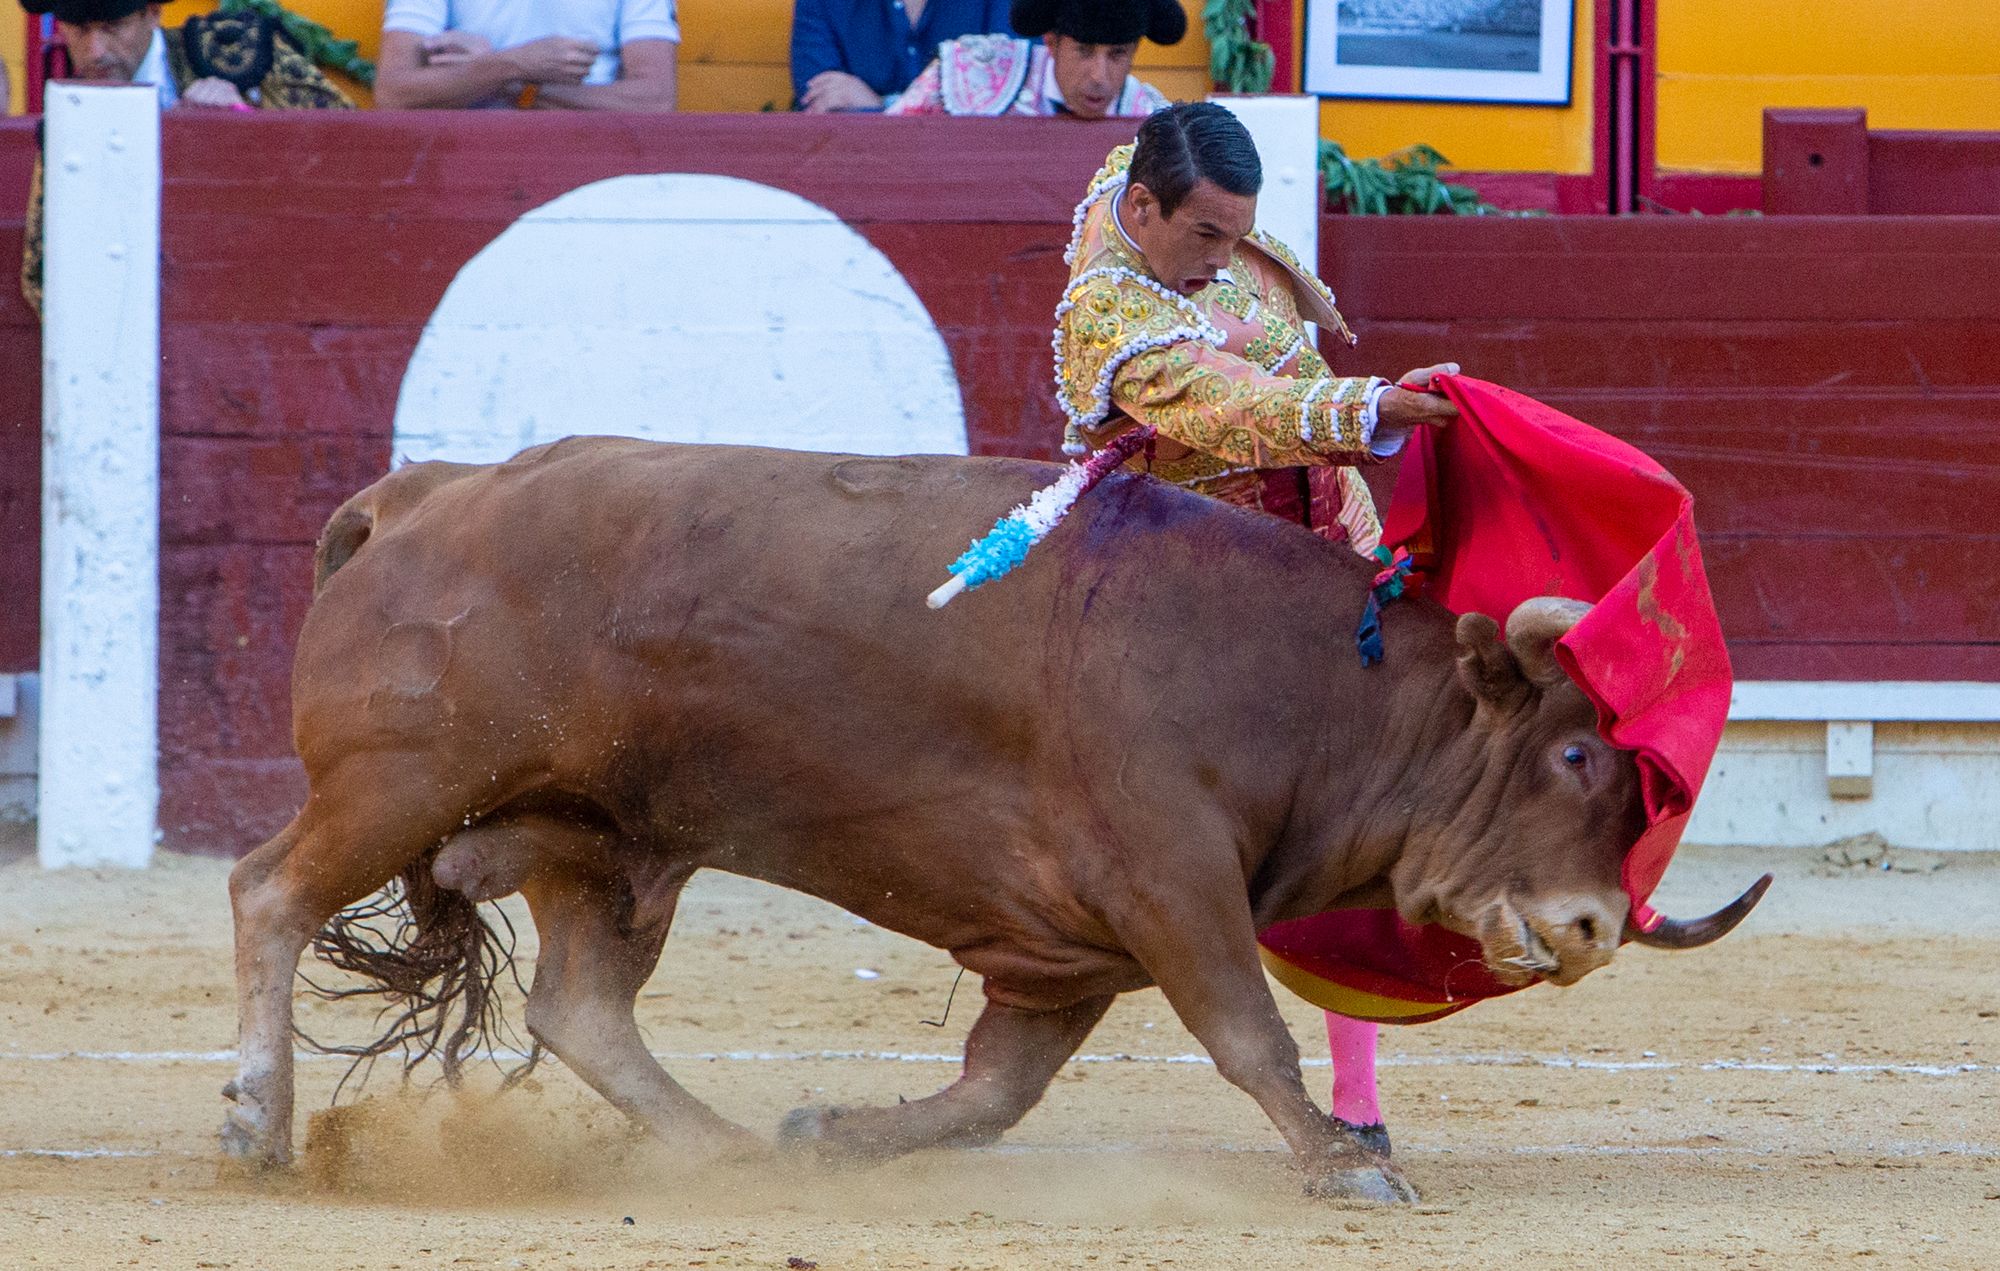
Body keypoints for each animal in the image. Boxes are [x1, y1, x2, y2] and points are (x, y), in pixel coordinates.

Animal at [223, 437, 1768, 1199]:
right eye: (1572, 751)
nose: (1593, 927)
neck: (1326, 690)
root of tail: (418, 495)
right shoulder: (1170, 881)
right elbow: (1250, 1032)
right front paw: (1341, 1162)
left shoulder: (1072, 947)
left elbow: (992, 1092)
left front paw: (833, 1129)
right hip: (400, 784)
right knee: (270, 892)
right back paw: (256, 1121)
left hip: (597, 840)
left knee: (581, 1007)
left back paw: (725, 1148)